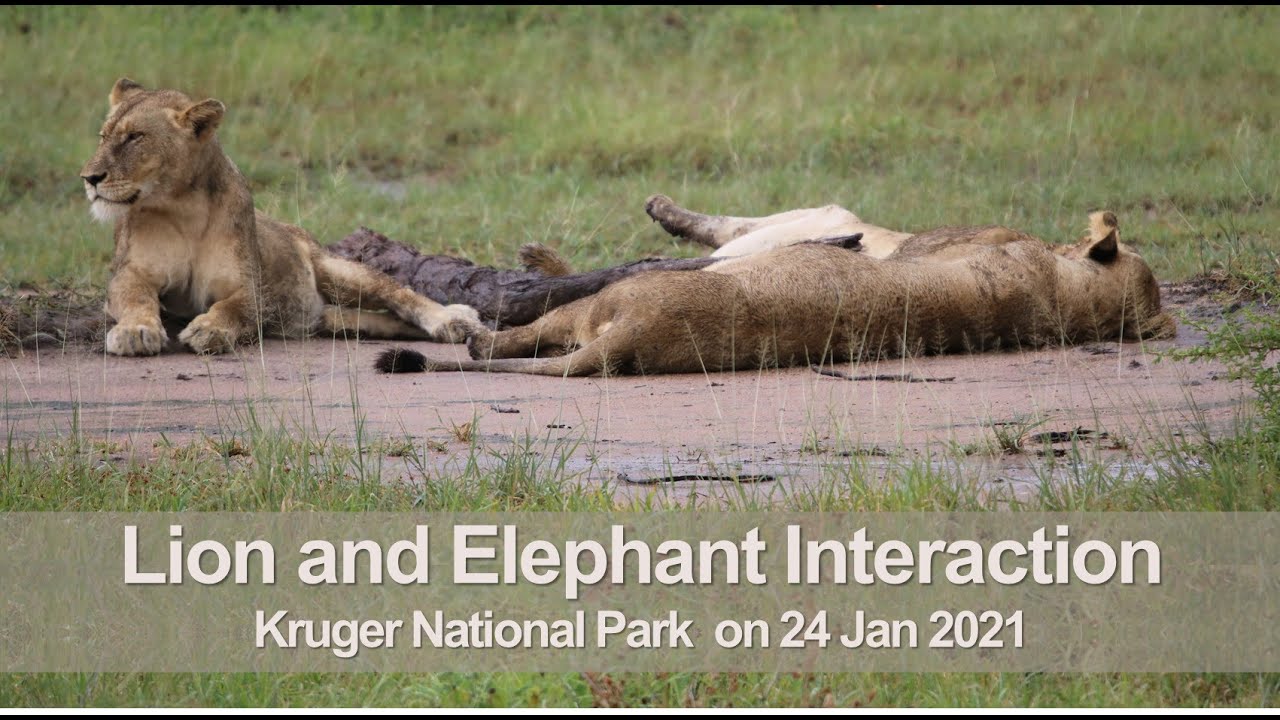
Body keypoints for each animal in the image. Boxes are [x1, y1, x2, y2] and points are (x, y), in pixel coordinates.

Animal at [79, 78, 481, 356]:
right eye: (103, 136)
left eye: (135, 137)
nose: (89, 177)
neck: (182, 209)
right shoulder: (130, 274)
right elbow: (137, 300)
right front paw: (135, 331)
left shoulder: (251, 287)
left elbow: (232, 307)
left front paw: (209, 329)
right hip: (333, 314)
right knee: (382, 319)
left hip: (338, 271)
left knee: (399, 294)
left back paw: (453, 320)